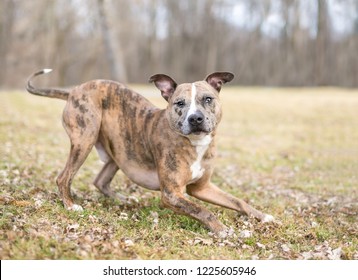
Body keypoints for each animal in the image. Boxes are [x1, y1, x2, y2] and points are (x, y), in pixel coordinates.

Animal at [27, 69, 274, 236]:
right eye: (180, 103)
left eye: (208, 99)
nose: (195, 118)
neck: (194, 143)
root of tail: (73, 91)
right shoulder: (172, 194)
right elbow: (204, 211)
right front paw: (225, 231)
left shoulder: (202, 187)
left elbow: (238, 202)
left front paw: (264, 216)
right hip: (84, 139)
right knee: (63, 177)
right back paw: (71, 205)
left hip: (119, 150)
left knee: (100, 180)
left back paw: (122, 199)